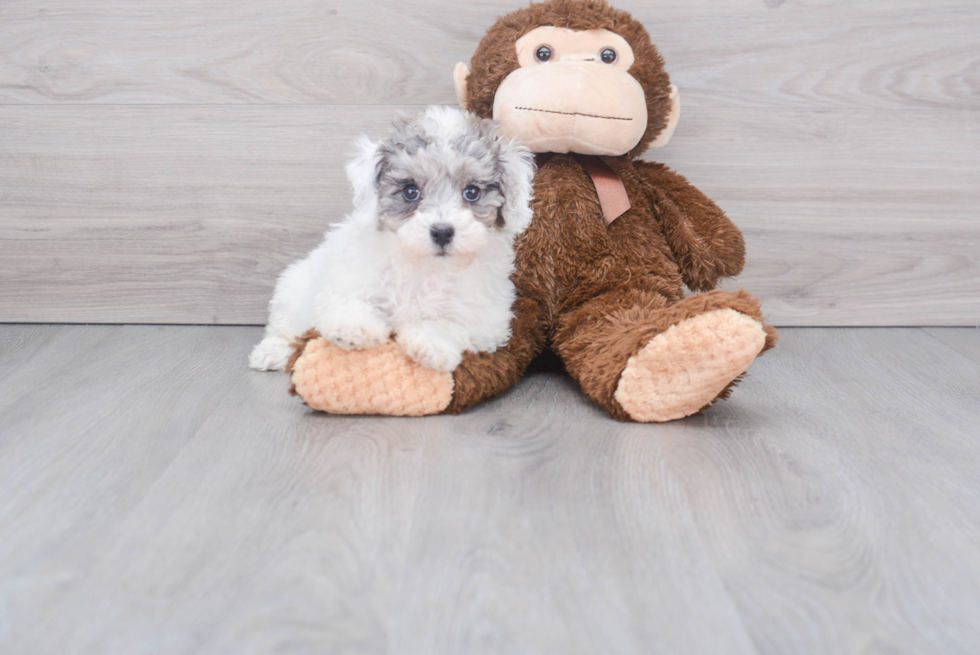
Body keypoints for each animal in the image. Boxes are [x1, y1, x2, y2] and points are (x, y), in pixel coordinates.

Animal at [247, 107, 536, 374]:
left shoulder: (487, 320)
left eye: (472, 192)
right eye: (410, 192)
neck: (426, 268)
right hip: (295, 289)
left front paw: (430, 344)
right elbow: (348, 300)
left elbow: (452, 325)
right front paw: (354, 327)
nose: (442, 232)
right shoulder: (347, 279)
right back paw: (273, 351)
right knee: (286, 326)